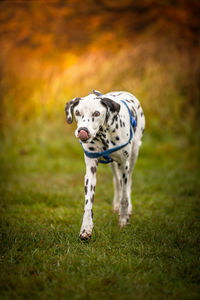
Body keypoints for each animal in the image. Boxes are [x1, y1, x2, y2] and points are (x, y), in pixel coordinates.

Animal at [65, 89, 145, 239]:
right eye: (77, 112)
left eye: (96, 113)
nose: (82, 131)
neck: (104, 135)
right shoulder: (90, 170)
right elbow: (88, 203)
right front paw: (86, 228)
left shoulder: (124, 164)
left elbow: (125, 196)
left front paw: (124, 219)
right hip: (113, 165)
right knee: (117, 181)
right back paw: (116, 205)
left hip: (133, 155)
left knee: (128, 183)